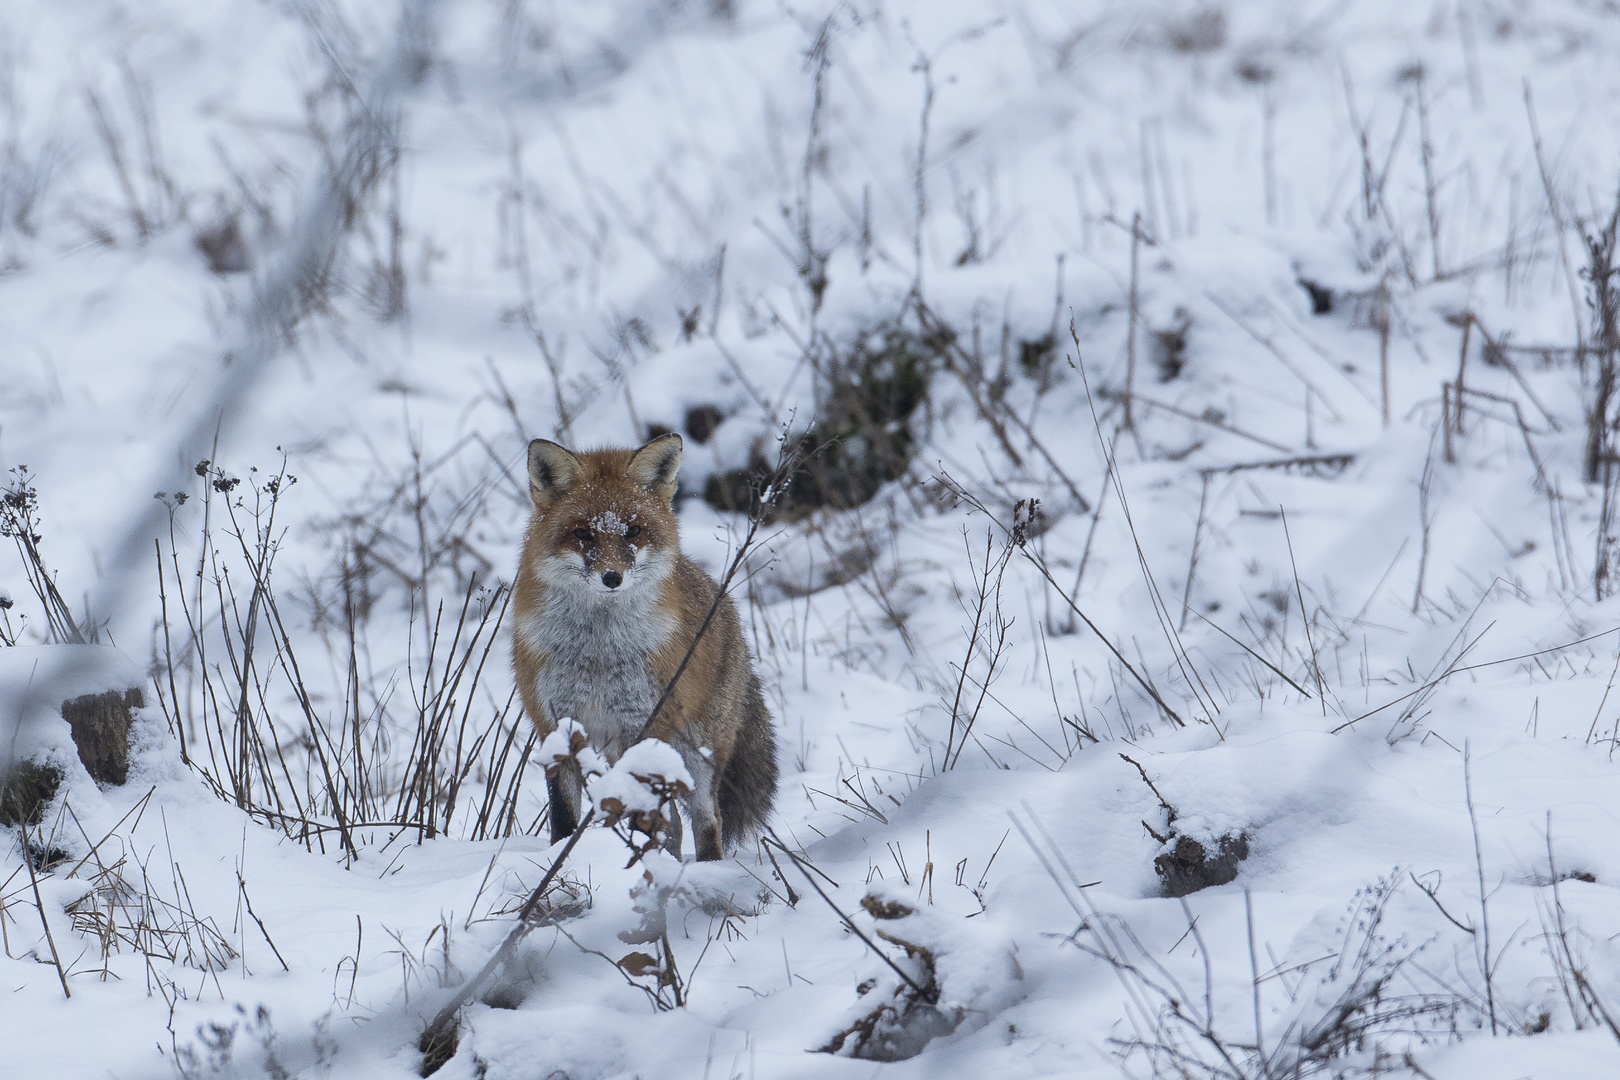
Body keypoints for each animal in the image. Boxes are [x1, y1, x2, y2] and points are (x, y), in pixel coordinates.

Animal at [511, 430, 777, 861]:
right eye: (582, 533)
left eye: (632, 531)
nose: (612, 578)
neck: (597, 653)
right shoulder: (555, 726)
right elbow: (563, 815)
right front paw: (561, 857)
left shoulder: (639, 727)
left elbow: (641, 816)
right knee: (675, 828)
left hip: (698, 754)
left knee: (706, 821)